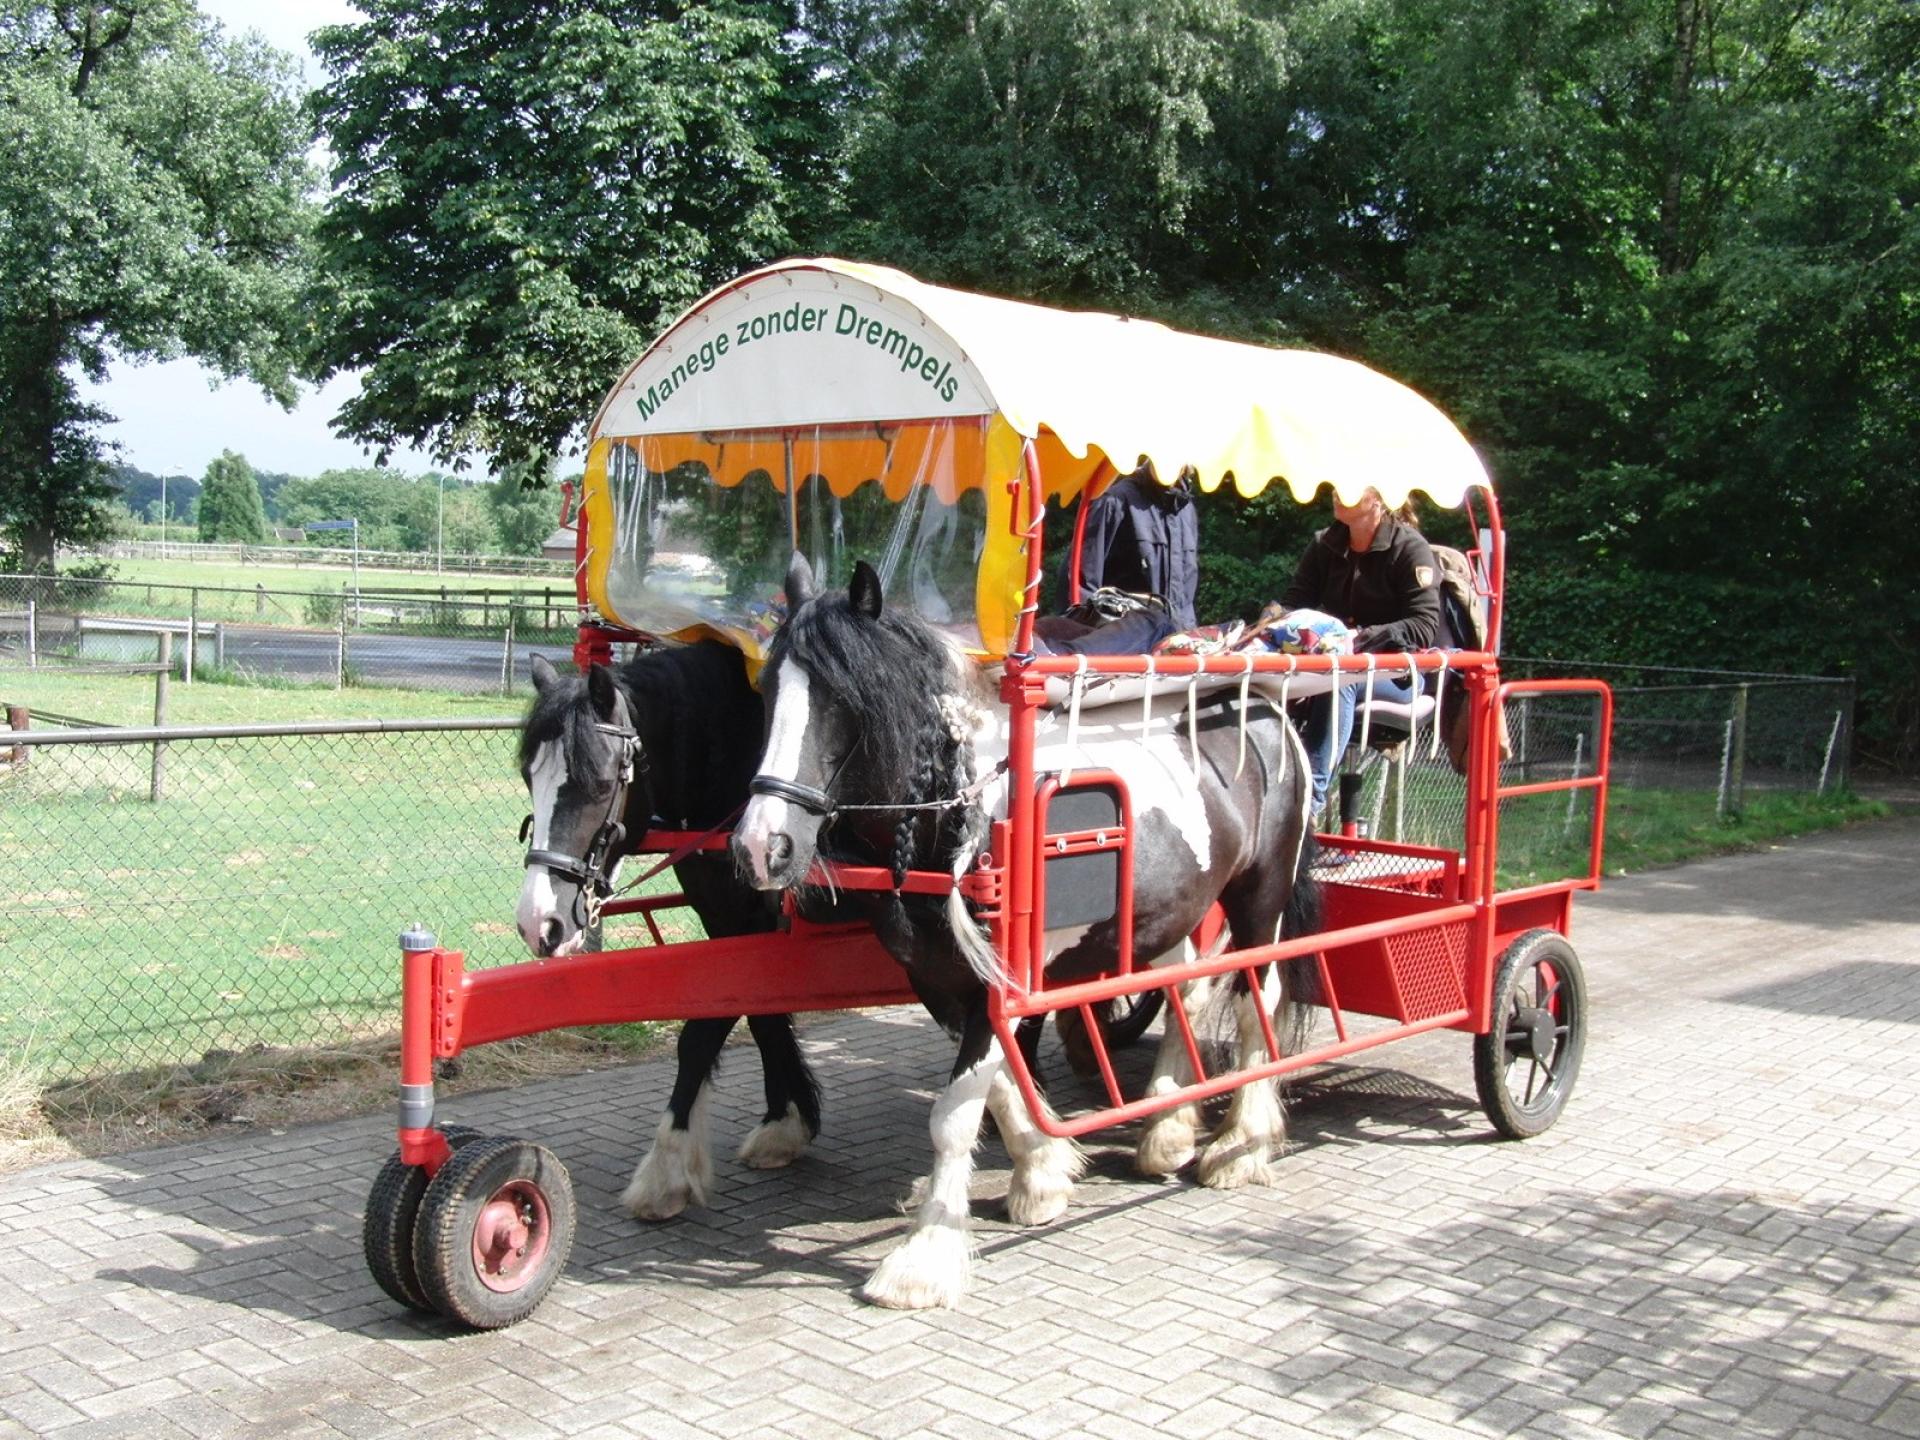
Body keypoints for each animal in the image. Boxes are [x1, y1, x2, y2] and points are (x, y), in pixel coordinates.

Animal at [510, 648, 817, 1221]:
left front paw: (666, 1168)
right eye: (526, 775)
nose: (538, 922)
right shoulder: (727, 918)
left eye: (601, 784)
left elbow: (701, 1034)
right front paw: (786, 1122)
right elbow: (760, 1014)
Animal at [733, 556, 1320, 1313]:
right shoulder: (944, 981)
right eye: (768, 688)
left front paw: (922, 1260)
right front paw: (1042, 1173)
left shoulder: (996, 983)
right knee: (1184, 993)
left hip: (1260, 896)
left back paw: (1240, 1143)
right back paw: (1165, 1131)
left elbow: (955, 1114)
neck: (965, 819)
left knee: (1258, 1002)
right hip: (1176, 908)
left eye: (846, 700)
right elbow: (1004, 1085)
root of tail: (1265, 707)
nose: (759, 848)